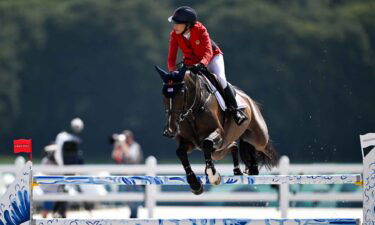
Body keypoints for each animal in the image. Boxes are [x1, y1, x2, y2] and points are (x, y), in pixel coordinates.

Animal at [155, 66, 280, 194]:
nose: (170, 130)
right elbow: (180, 152)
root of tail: (248, 99)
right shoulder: (189, 142)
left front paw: (213, 176)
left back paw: (252, 167)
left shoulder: (219, 134)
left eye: (181, 93)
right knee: (233, 146)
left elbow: (207, 143)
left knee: (257, 144)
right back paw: (242, 170)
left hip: (258, 138)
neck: (193, 110)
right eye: (163, 95)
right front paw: (195, 183)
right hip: (220, 150)